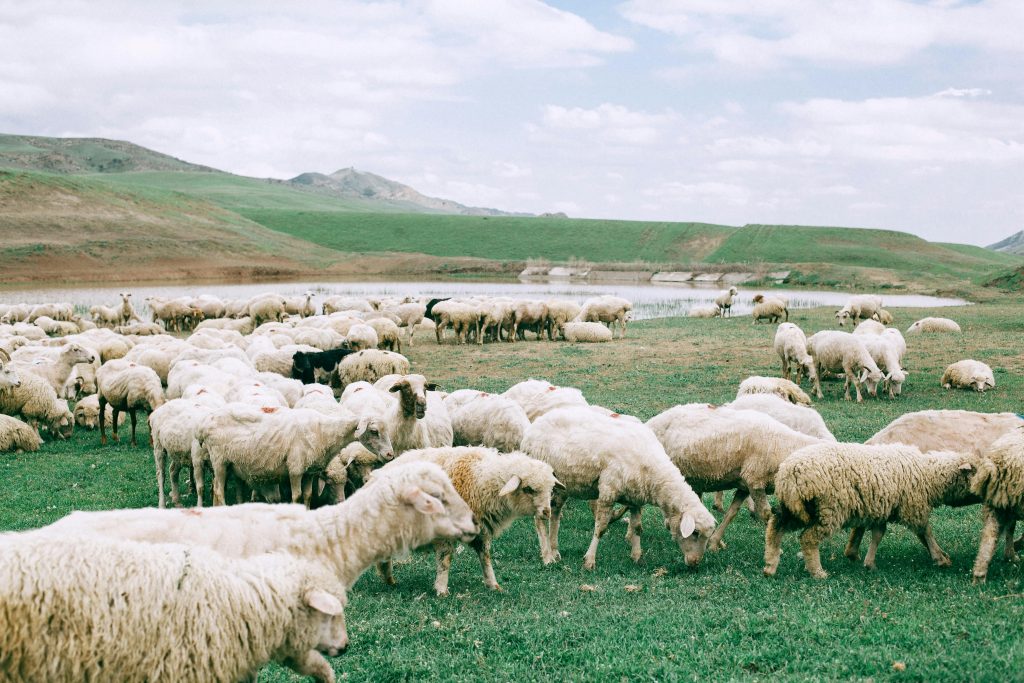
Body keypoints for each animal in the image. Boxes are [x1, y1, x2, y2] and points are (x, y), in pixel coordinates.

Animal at [377, 446, 557, 596]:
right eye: (528, 489)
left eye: (550, 490)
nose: (547, 512)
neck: (481, 481)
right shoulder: (446, 533)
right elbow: (445, 560)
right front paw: (441, 590)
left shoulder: (482, 531)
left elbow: (485, 557)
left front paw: (493, 585)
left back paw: (389, 580)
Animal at [522, 407, 717, 570]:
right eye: (695, 532)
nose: (694, 563)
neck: (653, 471)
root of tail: (533, 426)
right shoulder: (608, 491)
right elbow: (601, 528)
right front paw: (589, 561)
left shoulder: (635, 496)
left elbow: (637, 527)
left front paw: (637, 557)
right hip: (543, 480)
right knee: (539, 518)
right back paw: (547, 556)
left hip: (563, 485)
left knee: (555, 513)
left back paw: (555, 550)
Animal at [647, 404, 820, 550]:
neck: (785, 446)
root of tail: (651, 422)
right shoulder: (755, 481)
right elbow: (766, 514)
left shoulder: (745, 485)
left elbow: (732, 513)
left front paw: (714, 543)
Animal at [763, 443, 977, 579]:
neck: (929, 477)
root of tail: (789, 473)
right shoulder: (913, 507)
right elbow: (925, 532)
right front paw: (940, 558)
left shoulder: (879, 506)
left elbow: (876, 534)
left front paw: (864, 560)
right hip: (828, 509)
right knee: (808, 538)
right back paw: (817, 572)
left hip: (794, 508)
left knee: (774, 528)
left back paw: (770, 565)